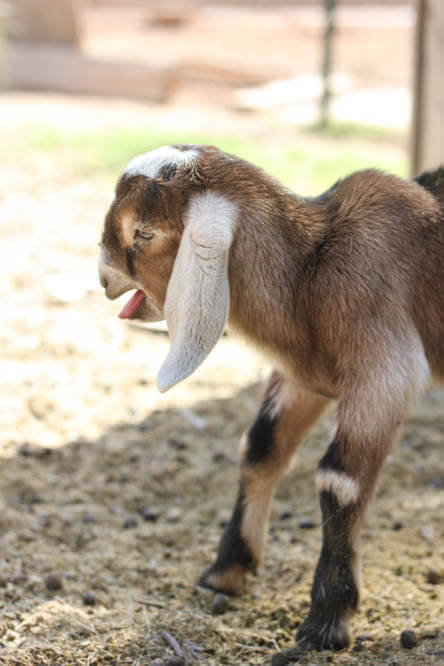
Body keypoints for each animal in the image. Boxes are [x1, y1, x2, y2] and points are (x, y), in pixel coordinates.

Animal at [99, 145, 444, 648]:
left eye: (143, 232)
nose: (104, 280)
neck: (311, 270)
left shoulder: (385, 368)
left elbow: (340, 482)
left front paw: (327, 621)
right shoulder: (304, 376)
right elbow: (261, 447)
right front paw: (227, 569)